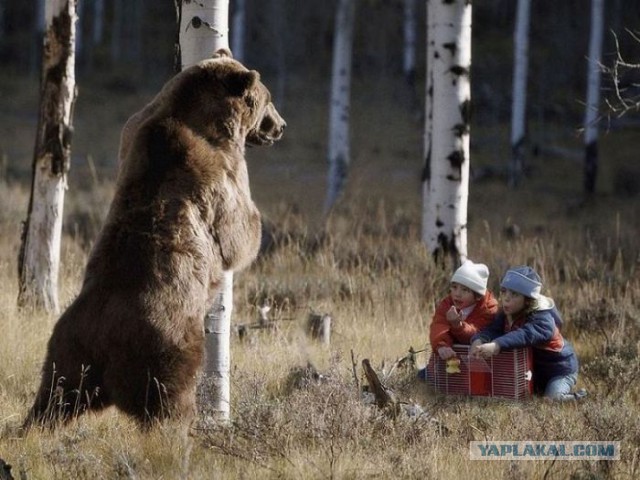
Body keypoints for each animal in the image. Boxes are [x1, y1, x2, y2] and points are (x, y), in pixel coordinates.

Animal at [24, 49, 284, 428]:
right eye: (268, 99)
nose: (280, 126)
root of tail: (104, 341)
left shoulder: (134, 129)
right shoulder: (219, 170)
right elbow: (238, 231)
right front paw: (253, 231)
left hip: (67, 353)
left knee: (52, 399)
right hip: (166, 350)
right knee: (169, 404)